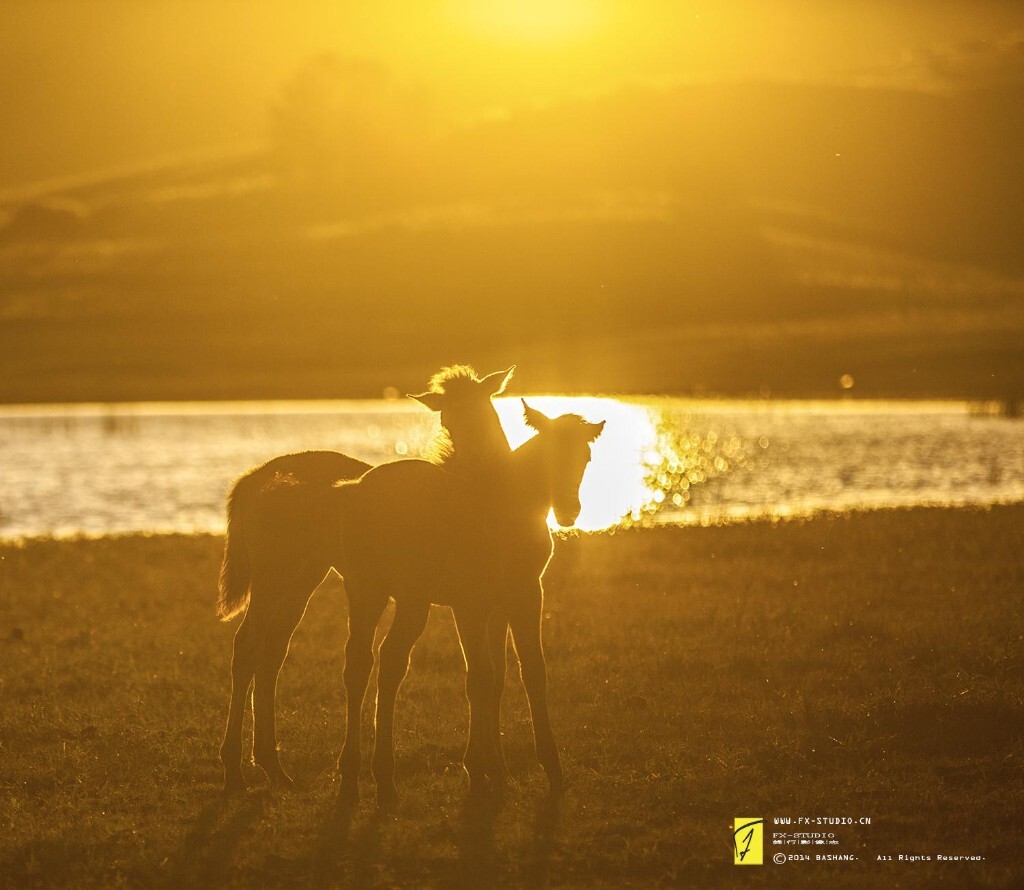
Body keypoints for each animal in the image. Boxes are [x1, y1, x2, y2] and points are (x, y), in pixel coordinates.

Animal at [220, 364, 516, 786]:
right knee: (248, 647)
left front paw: (496, 766)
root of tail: (249, 481)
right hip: (275, 579)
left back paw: (273, 767)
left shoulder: (489, 605)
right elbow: (478, 675)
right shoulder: (460, 601)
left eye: (484, 407)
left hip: (301, 580)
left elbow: (493, 676)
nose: (471, 460)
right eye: (447, 416)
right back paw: (235, 767)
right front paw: (482, 767)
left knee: (273, 651)